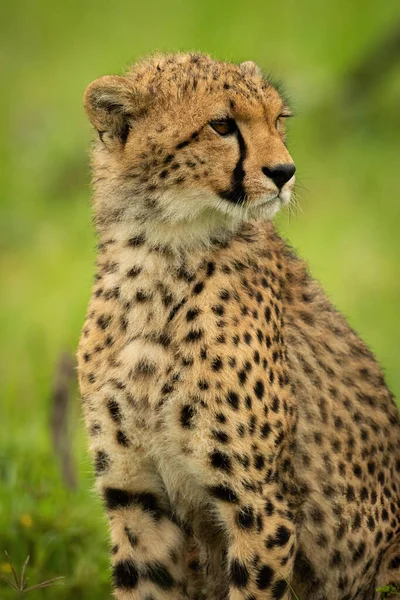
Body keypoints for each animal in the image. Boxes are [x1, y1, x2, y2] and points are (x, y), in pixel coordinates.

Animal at [77, 52, 400, 600]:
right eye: (222, 125)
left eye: (278, 119)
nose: (284, 171)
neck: (158, 255)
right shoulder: (135, 494)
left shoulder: (260, 502)